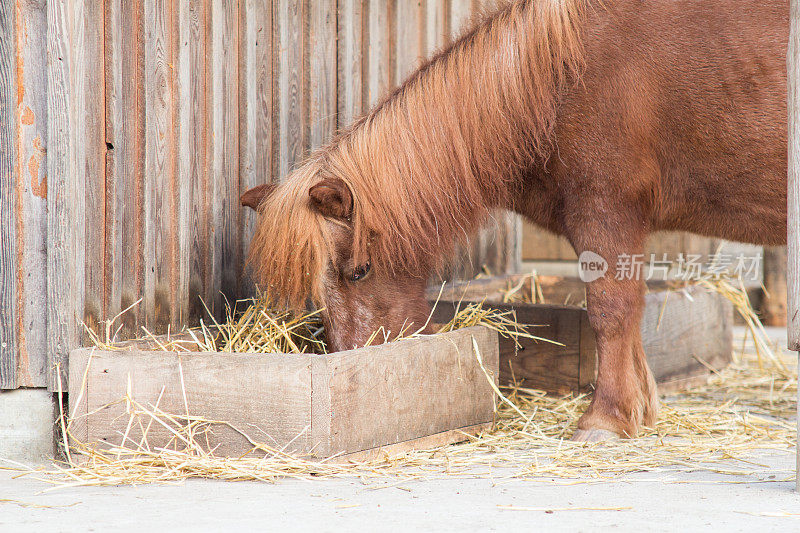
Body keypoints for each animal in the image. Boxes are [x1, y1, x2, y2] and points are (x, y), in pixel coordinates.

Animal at [242, 0, 788, 440]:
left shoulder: (606, 213)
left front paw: (604, 420)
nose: (355, 360)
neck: (557, 78)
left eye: (358, 272)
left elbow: (611, 312)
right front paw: (638, 412)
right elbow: (630, 316)